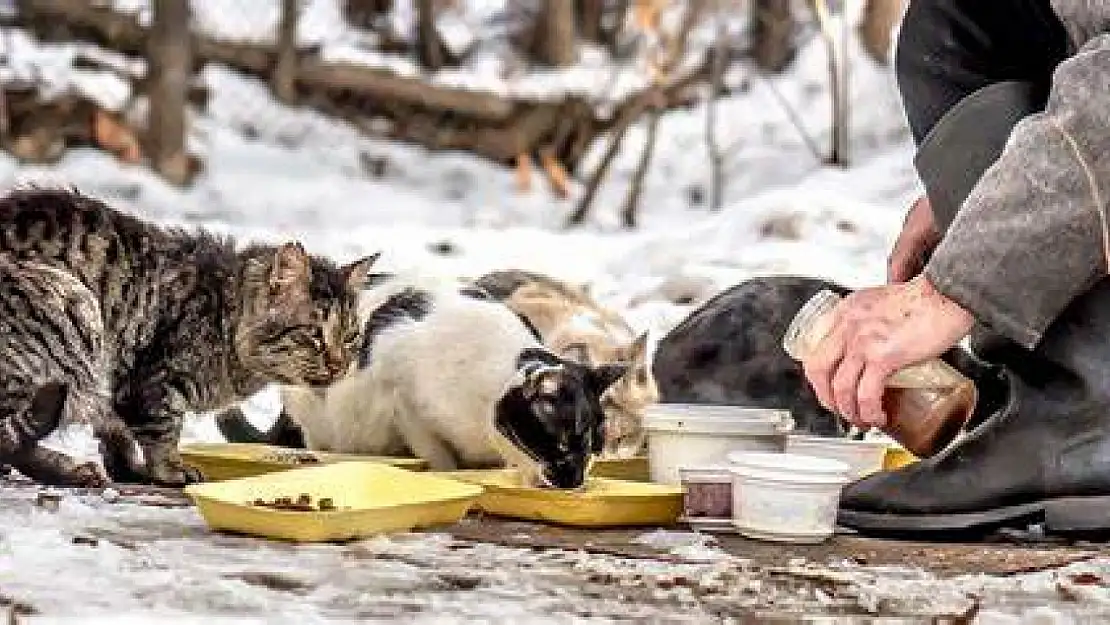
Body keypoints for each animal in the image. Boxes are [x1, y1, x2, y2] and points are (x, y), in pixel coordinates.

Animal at [0, 188, 375, 486]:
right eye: (314, 334)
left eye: (351, 337)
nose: (339, 365)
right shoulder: (152, 382)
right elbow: (163, 427)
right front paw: (169, 469)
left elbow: (116, 433)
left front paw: (128, 468)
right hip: (73, 302)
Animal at [214, 277, 626, 488]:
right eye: (565, 444)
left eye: (595, 447)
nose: (576, 480)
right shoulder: (404, 403)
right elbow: (441, 459)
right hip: (318, 418)